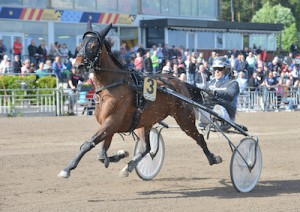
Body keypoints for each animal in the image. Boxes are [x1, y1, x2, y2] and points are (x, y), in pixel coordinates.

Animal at [57, 22, 223, 179]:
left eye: (93, 46)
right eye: (80, 45)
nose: (77, 66)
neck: (112, 85)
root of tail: (178, 81)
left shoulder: (111, 121)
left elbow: (88, 144)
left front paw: (67, 169)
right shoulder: (109, 125)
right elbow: (102, 154)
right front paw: (120, 155)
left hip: (185, 119)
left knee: (199, 137)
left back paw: (213, 158)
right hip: (145, 121)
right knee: (146, 148)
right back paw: (129, 167)